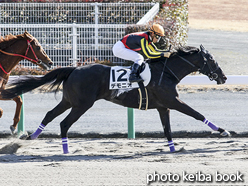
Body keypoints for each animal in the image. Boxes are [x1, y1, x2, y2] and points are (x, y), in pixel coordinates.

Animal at [1, 45, 231, 154]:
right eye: (211, 60)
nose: (223, 77)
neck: (167, 72)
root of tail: (74, 69)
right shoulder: (173, 102)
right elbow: (197, 114)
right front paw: (223, 131)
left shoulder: (163, 107)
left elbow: (167, 129)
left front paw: (174, 149)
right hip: (82, 104)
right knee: (64, 123)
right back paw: (65, 150)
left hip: (69, 101)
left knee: (49, 115)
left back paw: (29, 138)